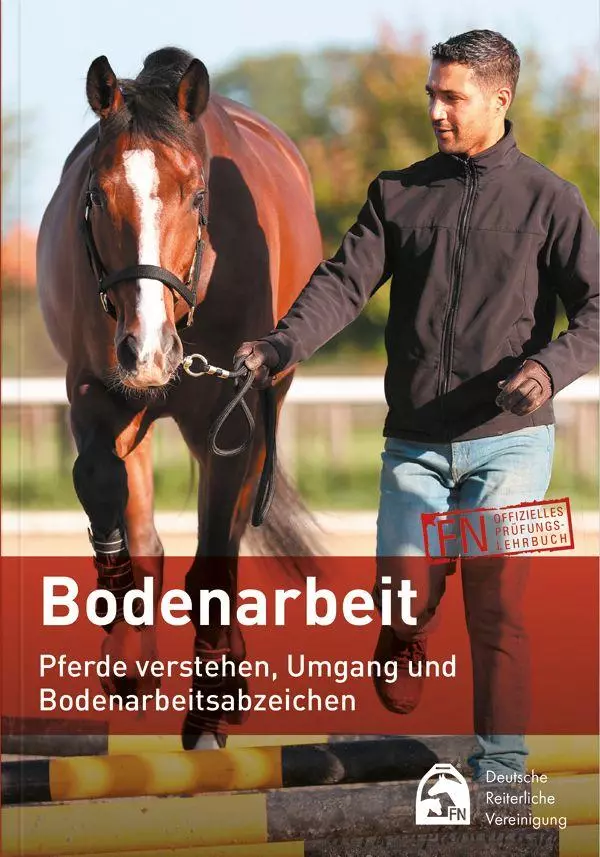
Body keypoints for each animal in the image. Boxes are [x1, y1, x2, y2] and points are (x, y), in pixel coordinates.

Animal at [36, 47, 322, 749]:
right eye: (95, 194)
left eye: (196, 197)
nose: (148, 351)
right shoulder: (95, 392)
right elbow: (102, 486)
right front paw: (123, 651)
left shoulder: (230, 417)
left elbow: (215, 559)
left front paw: (211, 708)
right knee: (141, 522)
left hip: (256, 411)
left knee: (232, 530)